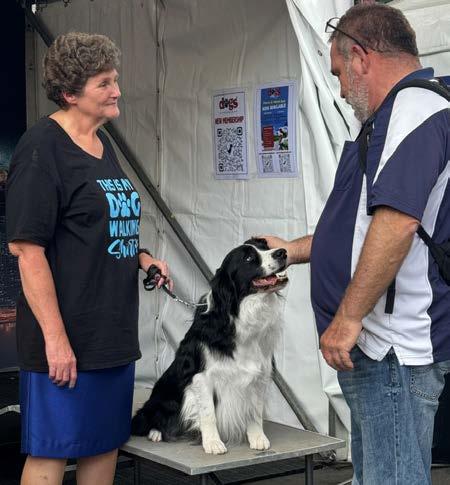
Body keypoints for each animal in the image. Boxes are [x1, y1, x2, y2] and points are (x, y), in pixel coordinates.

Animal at [131, 238, 288, 454]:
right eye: (248, 258)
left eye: (265, 247)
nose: (283, 252)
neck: (241, 313)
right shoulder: (201, 377)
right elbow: (208, 413)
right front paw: (213, 443)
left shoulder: (259, 374)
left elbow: (254, 410)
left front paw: (258, 438)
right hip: (164, 397)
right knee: (150, 417)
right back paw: (156, 433)